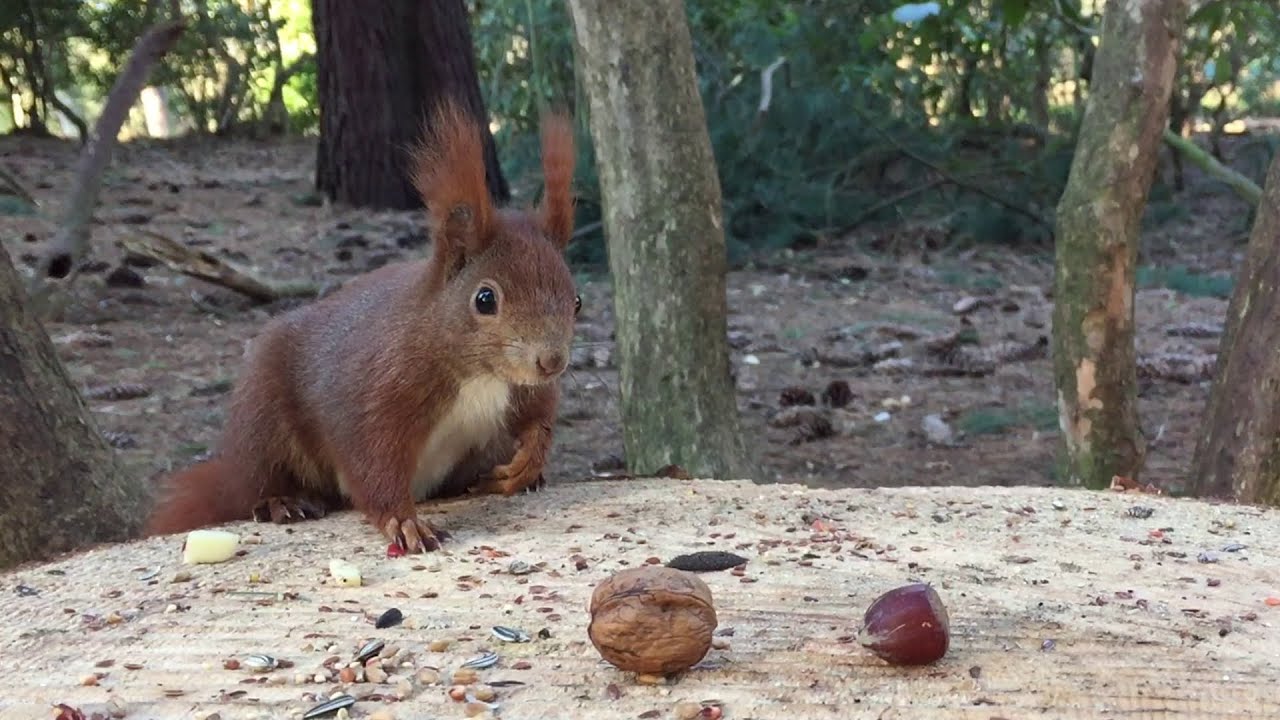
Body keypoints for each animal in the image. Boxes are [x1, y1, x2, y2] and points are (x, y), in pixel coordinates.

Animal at [143, 99, 580, 553]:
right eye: (485, 299)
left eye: (577, 301)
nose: (551, 361)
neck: (480, 376)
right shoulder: (382, 390)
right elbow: (372, 461)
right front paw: (405, 522)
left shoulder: (523, 391)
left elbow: (538, 420)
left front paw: (527, 464)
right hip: (261, 416)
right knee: (257, 480)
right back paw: (282, 500)